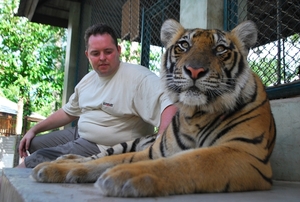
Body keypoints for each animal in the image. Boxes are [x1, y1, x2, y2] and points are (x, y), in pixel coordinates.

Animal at [31, 20, 276, 197]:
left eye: (220, 49)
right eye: (184, 45)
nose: (194, 70)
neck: (195, 114)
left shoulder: (245, 153)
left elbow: (190, 161)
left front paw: (126, 175)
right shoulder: (153, 151)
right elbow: (104, 162)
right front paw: (58, 170)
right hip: (125, 144)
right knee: (95, 156)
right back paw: (58, 162)